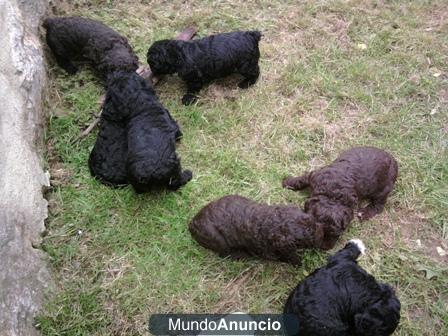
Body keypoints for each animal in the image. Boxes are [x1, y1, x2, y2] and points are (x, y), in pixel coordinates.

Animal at [187, 194, 324, 266]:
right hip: (217, 239)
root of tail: (192, 223)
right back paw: (240, 255)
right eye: (309, 235)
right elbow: (289, 256)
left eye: (312, 220)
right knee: (224, 253)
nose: (322, 233)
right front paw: (298, 262)